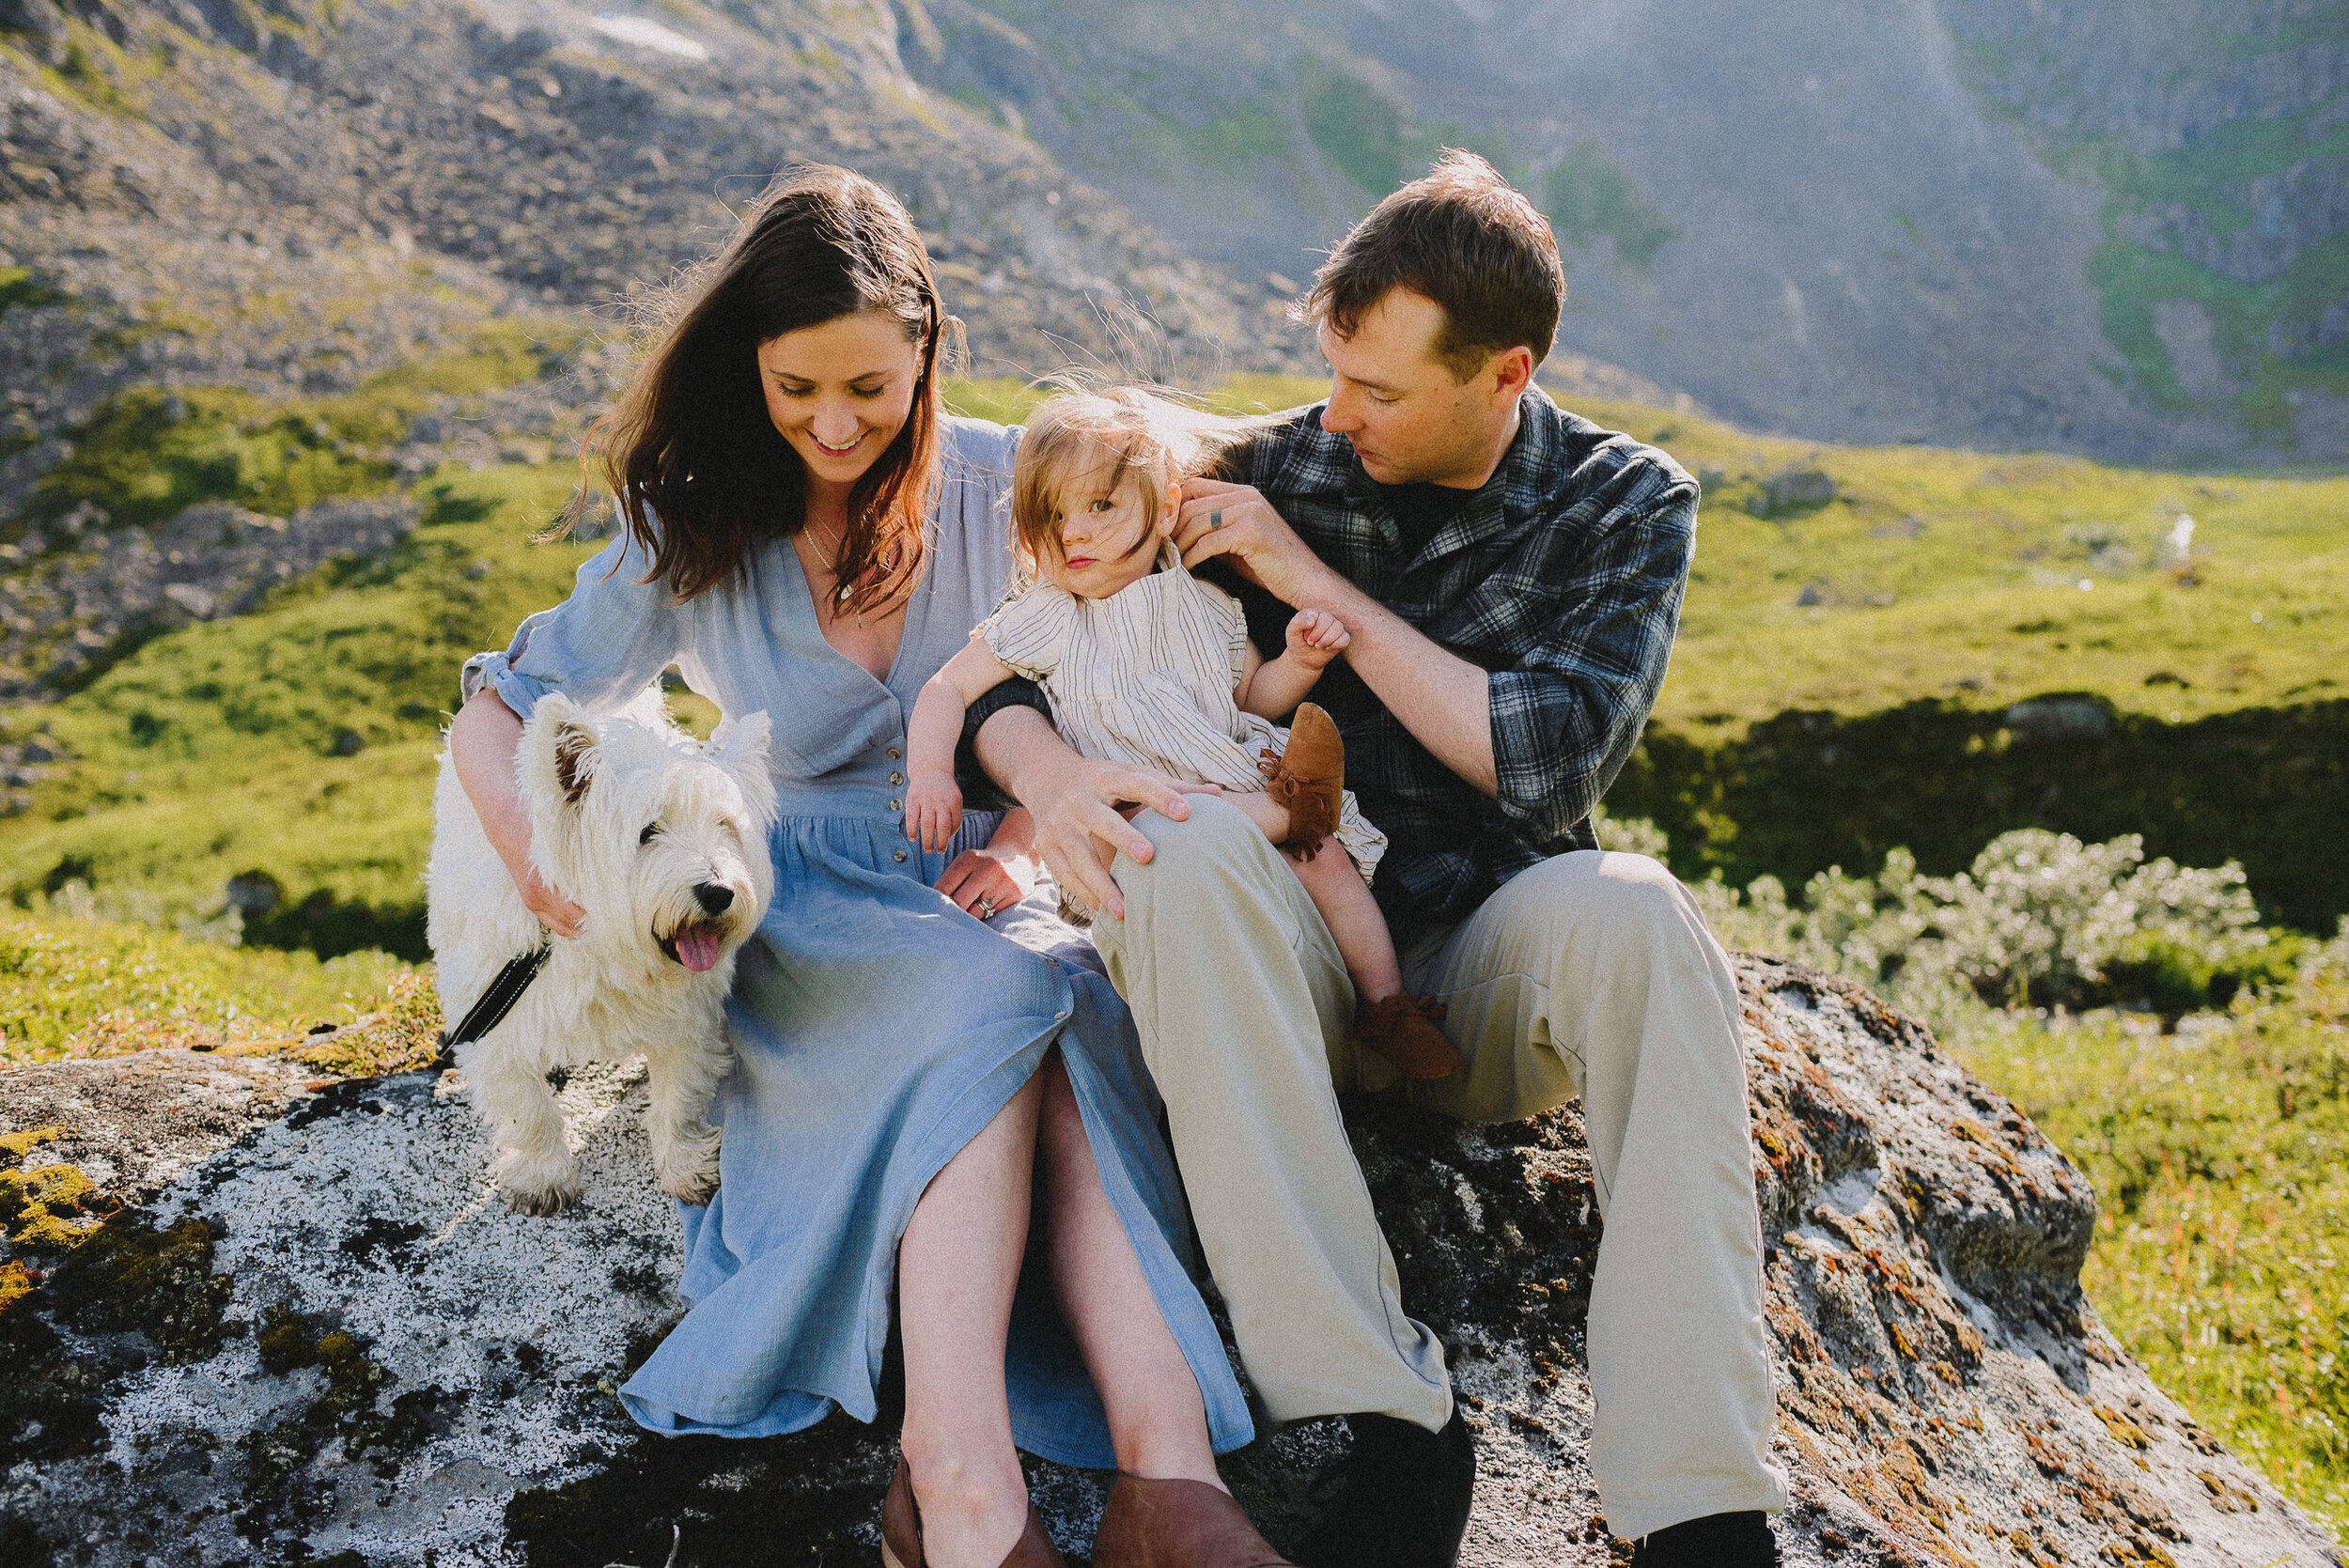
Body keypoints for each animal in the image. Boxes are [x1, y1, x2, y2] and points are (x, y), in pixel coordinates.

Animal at [428, 690, 775, 1220]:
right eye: (647, 832)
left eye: (725, 826)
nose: (719, 892)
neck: (604, 948)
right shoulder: (496, 1013)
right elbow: (526, 1107)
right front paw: (543, 1176)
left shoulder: (688, 1017)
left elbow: (679, 1093)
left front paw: (684, 1166)